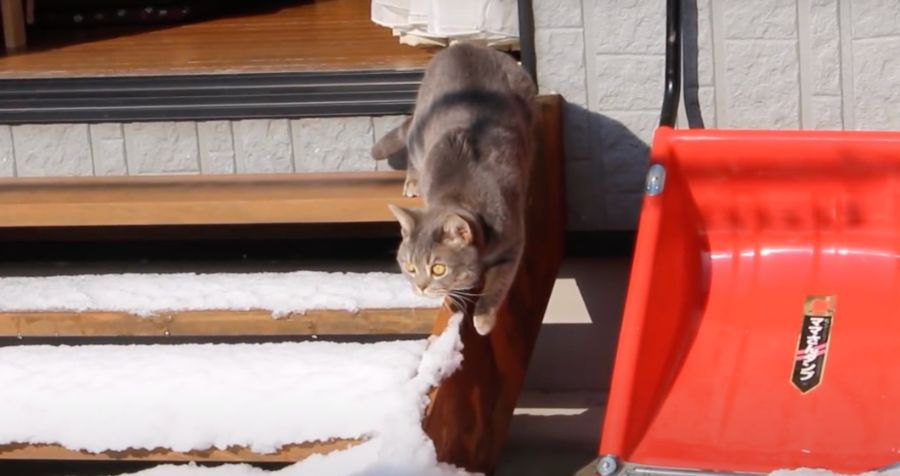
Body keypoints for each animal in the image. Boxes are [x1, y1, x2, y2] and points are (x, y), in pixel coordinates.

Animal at [370, 43, 536, 334]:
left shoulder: (513, 242)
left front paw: (483, 319)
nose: (421, 287)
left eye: (438, 269)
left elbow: (498, 283)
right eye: (410, 266)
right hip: (420, 134)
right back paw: (412, 182)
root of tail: (463, 45)